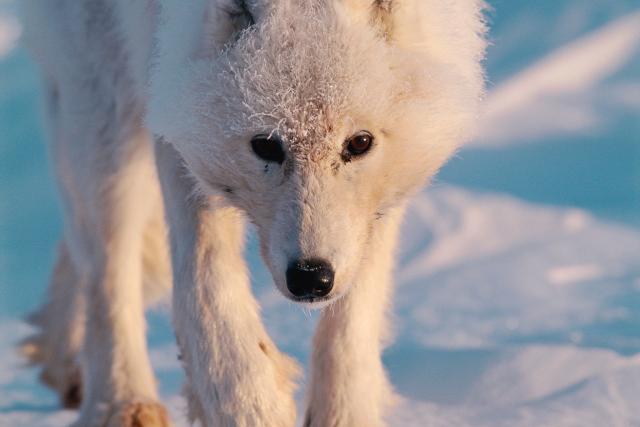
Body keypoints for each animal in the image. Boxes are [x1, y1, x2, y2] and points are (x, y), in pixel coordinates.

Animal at [19, 0, 486, 426]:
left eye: (359, 143)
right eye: (265, 146)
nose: (311, 278)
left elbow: (357, 304)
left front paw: (344, 412)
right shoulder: (174, 96)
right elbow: (205, 281)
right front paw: (249, 403)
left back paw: (63, 358)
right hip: (106, 100)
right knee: (107, 259)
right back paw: (121, 404)